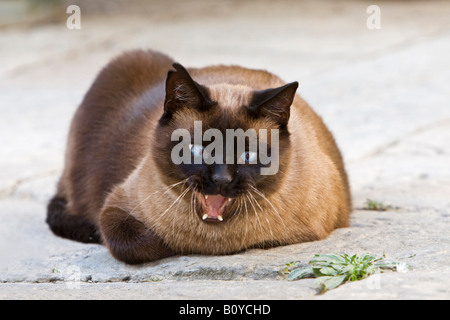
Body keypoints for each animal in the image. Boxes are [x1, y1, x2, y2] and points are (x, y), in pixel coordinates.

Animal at [47, 50, 354, 264]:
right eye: (197, 149)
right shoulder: (115, 207)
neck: (214, 240)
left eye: (247, 154)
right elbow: (135, 243)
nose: (221, 179)